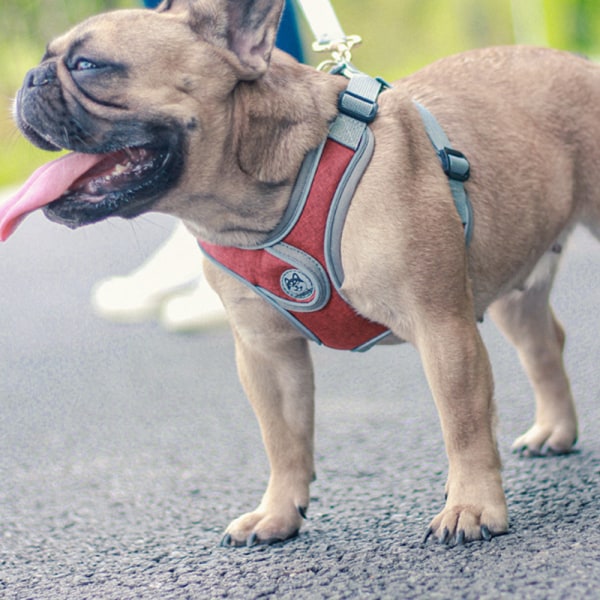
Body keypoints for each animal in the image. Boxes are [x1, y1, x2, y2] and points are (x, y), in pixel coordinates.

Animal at [2, 0, 596, 548]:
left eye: (87, 65)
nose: (28, 79)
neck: (265, 197)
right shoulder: (266, 352)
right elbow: (283, 439)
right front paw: (277, 514)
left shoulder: (442, 329)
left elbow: (464, 421)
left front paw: (471, 506)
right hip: (513, 285)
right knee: (544, 342)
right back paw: (555, 431)